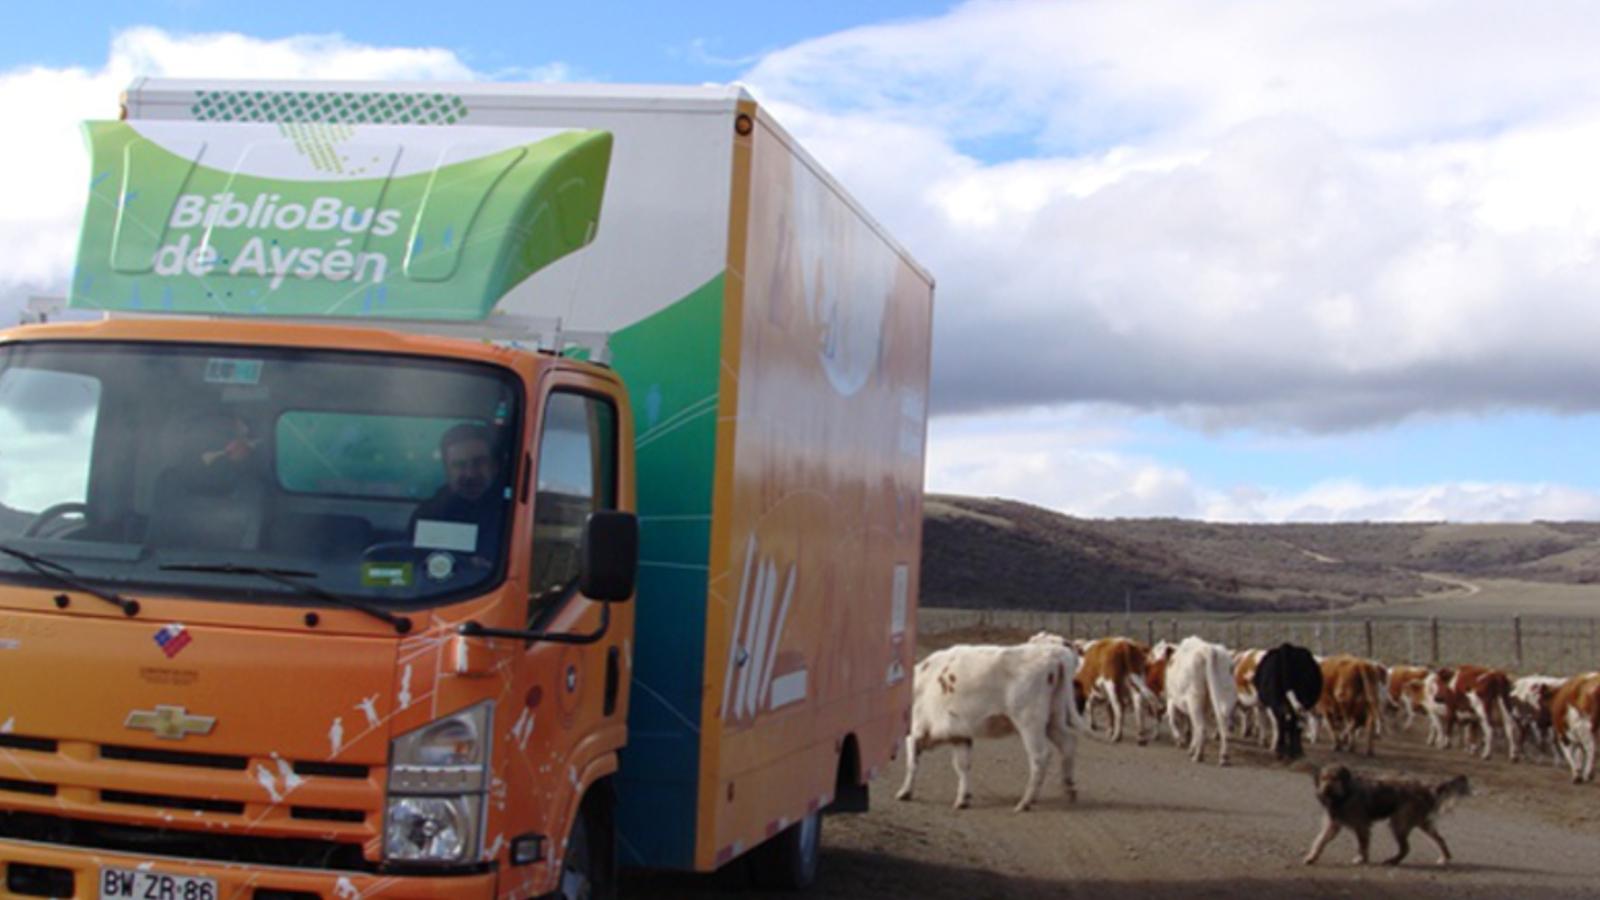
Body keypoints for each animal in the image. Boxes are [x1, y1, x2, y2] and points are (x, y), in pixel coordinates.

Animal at [902, 634, 1088, 810]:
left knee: (1040, 756)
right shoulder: (960, 735)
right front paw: (963, 798)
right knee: (1068, 743)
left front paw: (905, 792)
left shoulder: (915, 731)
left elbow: (912, 762)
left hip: (1030, 722)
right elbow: (962, 766)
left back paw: (1025, 802)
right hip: (1053, 719)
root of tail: (1053, 653)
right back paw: (1068, 788)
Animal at [1164, 630, 1235, 762]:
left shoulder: (1171, 699)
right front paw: (1190, 746)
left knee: (1201, 728)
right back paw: (1224, 756)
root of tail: (1208, 648)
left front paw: (1180, 741)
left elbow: (1173, 719)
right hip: (1225, 695)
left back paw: (1198, 755)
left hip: (1194, 699)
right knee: (1222, 723)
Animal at [1305, 759, 1465, 864]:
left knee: (1406, 848)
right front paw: (1312, 856)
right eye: (1323, 778)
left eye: (1335, 779)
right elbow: (1320, 840)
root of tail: (1426, 788)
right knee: (1439, 839)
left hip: (1399, 822)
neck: (1344, 795)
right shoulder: (1333, 825)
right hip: (1422, 822)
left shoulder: (1361, 825)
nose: (1326, 789)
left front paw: (1361, 858)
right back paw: (1445, 857)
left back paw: (1392, 860)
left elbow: (1362, 843)